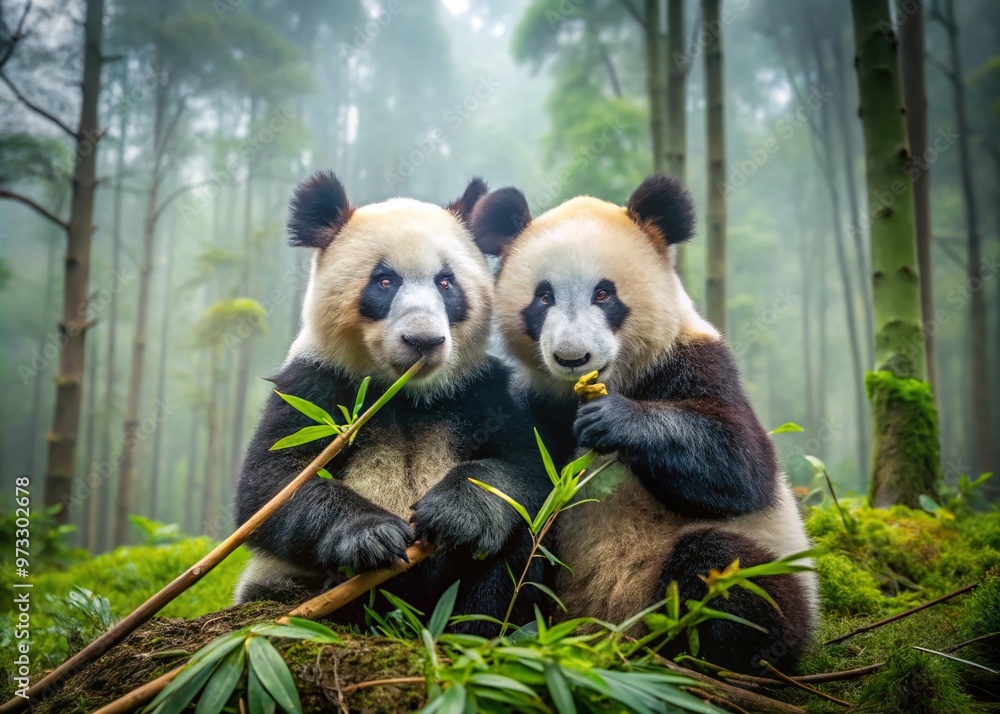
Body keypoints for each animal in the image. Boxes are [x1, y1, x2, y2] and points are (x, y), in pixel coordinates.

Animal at [234, 171, 550, 635]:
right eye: (384, 281)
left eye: (445, 282)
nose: (423, 341)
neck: (405, 393)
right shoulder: (315, 385)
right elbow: (270, 484)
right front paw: (372, 536)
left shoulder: (477, 390)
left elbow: (525, 467)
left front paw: (455, 513)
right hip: (281, 584)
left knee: (518, 550)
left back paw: (468, 631)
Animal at [470, 174, 818, 671]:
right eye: (543, 296)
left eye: (604, 294)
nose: (572, 358)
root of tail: (606, 630)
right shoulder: (537, 403)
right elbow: (516, 475)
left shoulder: (696, 360)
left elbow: (742, 467)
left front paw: (613, 420)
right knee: (517, 542)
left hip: (771, 570)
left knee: (727, 574)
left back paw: (704, 655)